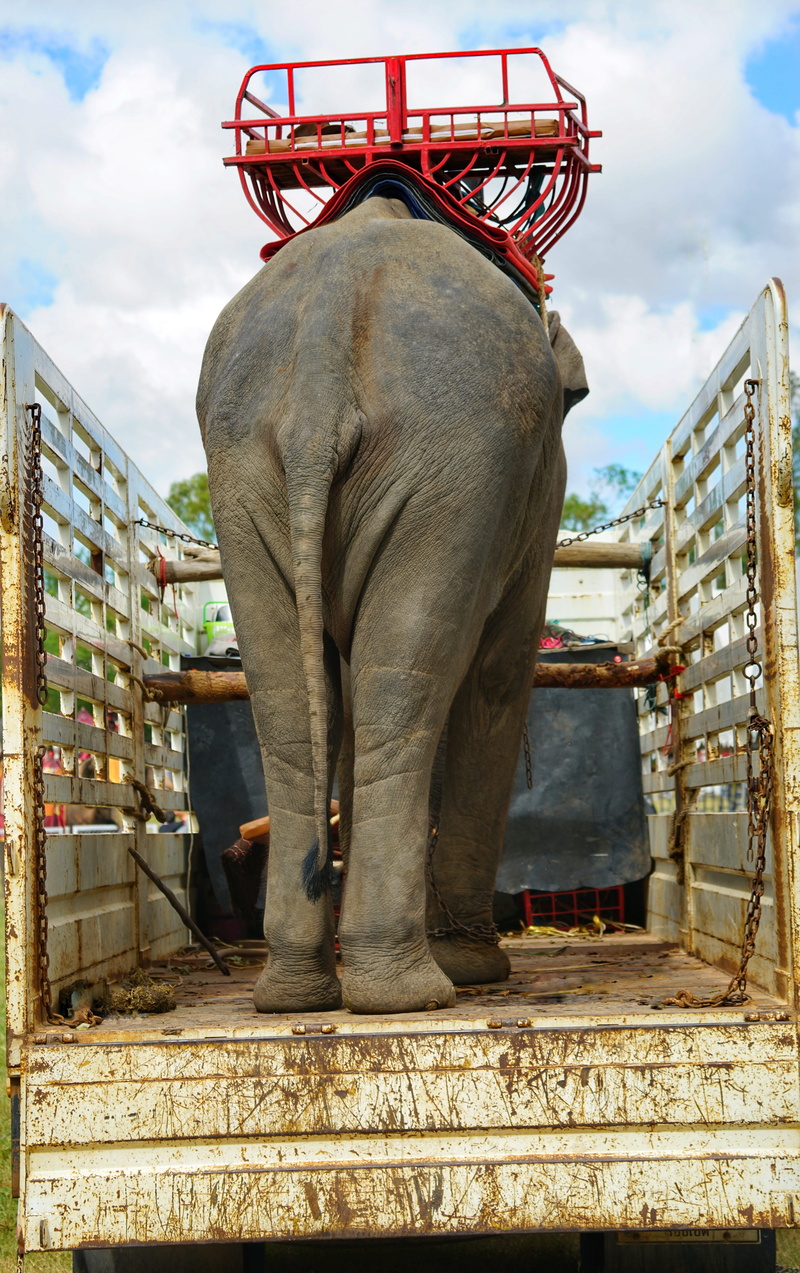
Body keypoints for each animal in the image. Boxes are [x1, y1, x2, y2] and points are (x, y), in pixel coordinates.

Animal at [197, 194, 588, 1015]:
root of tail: (324, 335)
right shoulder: (535, 491)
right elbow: (498, 680)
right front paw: (478, 968)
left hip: (244, 473)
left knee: (295, 707)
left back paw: (299, 992)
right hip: (455, 472)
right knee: (406, 695)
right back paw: (418, 992)